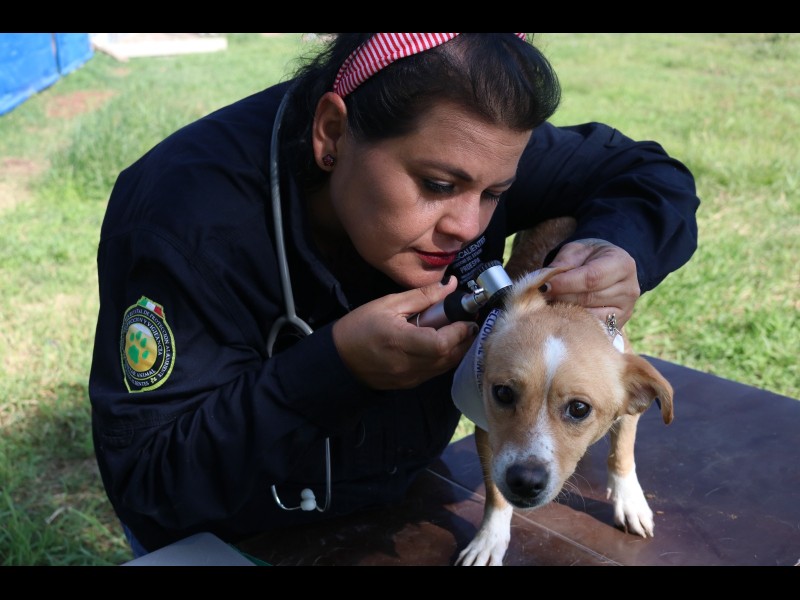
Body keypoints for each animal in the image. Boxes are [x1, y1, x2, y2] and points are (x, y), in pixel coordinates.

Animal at [453, 217, 674, 566]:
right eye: (502, 393)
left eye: (580, 409)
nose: (525, 481)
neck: (567, 308)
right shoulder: (487, 430)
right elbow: (496, 493)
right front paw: (489, 539)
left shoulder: (631, 402)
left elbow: (622, 452)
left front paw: (630, 501)